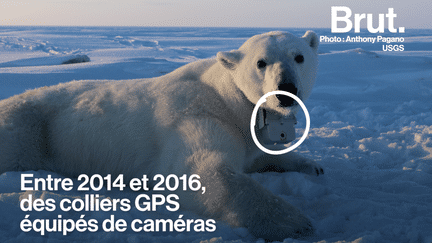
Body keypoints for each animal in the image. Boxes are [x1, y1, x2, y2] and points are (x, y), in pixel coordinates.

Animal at [0, 30, 322, 241]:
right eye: (260, 62)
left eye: (299, 56)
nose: (286, 90)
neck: (226, 98)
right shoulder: (198, 117)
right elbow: (202, 171)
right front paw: (295, 222)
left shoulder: (242, 130)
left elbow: (257, 155)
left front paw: (312, 166)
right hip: (29, 130)